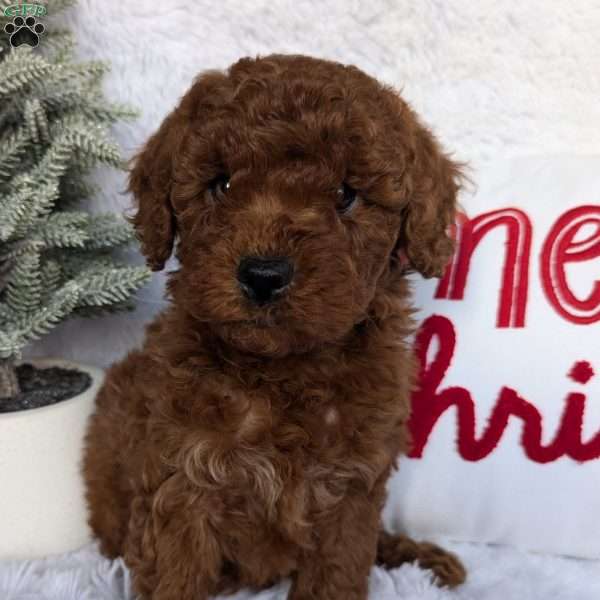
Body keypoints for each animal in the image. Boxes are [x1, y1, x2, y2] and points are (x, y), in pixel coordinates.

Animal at [83, 54, 468, 596]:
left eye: (345, 194)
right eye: (221, 184)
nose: (263, 275)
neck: (283, 372)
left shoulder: (352, 484)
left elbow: (338, 573)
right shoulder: (181, 478)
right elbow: (175, 576)